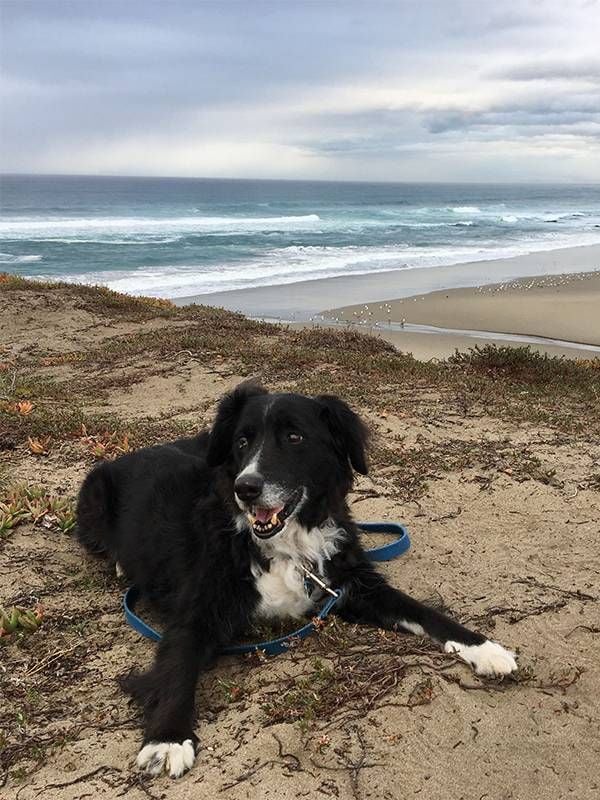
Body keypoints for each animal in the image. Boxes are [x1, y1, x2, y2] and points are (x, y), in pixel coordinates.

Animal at [75, 384, 516, 780]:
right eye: (243, 441)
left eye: (294, 437)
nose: (245, 488)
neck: (286, 545)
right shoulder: (196, 613)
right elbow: (177, 668)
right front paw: (167, 739)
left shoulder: (352, 585)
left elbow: (424, 612)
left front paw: (484, 647)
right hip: (92, 500)